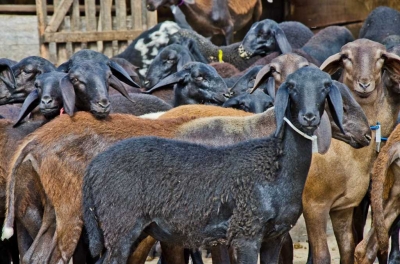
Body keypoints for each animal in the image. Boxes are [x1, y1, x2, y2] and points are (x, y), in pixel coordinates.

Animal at [83, 67, 344, 262]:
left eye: (325, 86)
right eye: (292, 87)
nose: (308, 117)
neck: (276, 166)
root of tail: (94, 167)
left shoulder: (274, 236)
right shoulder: (246, 233)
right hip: (120, 226)